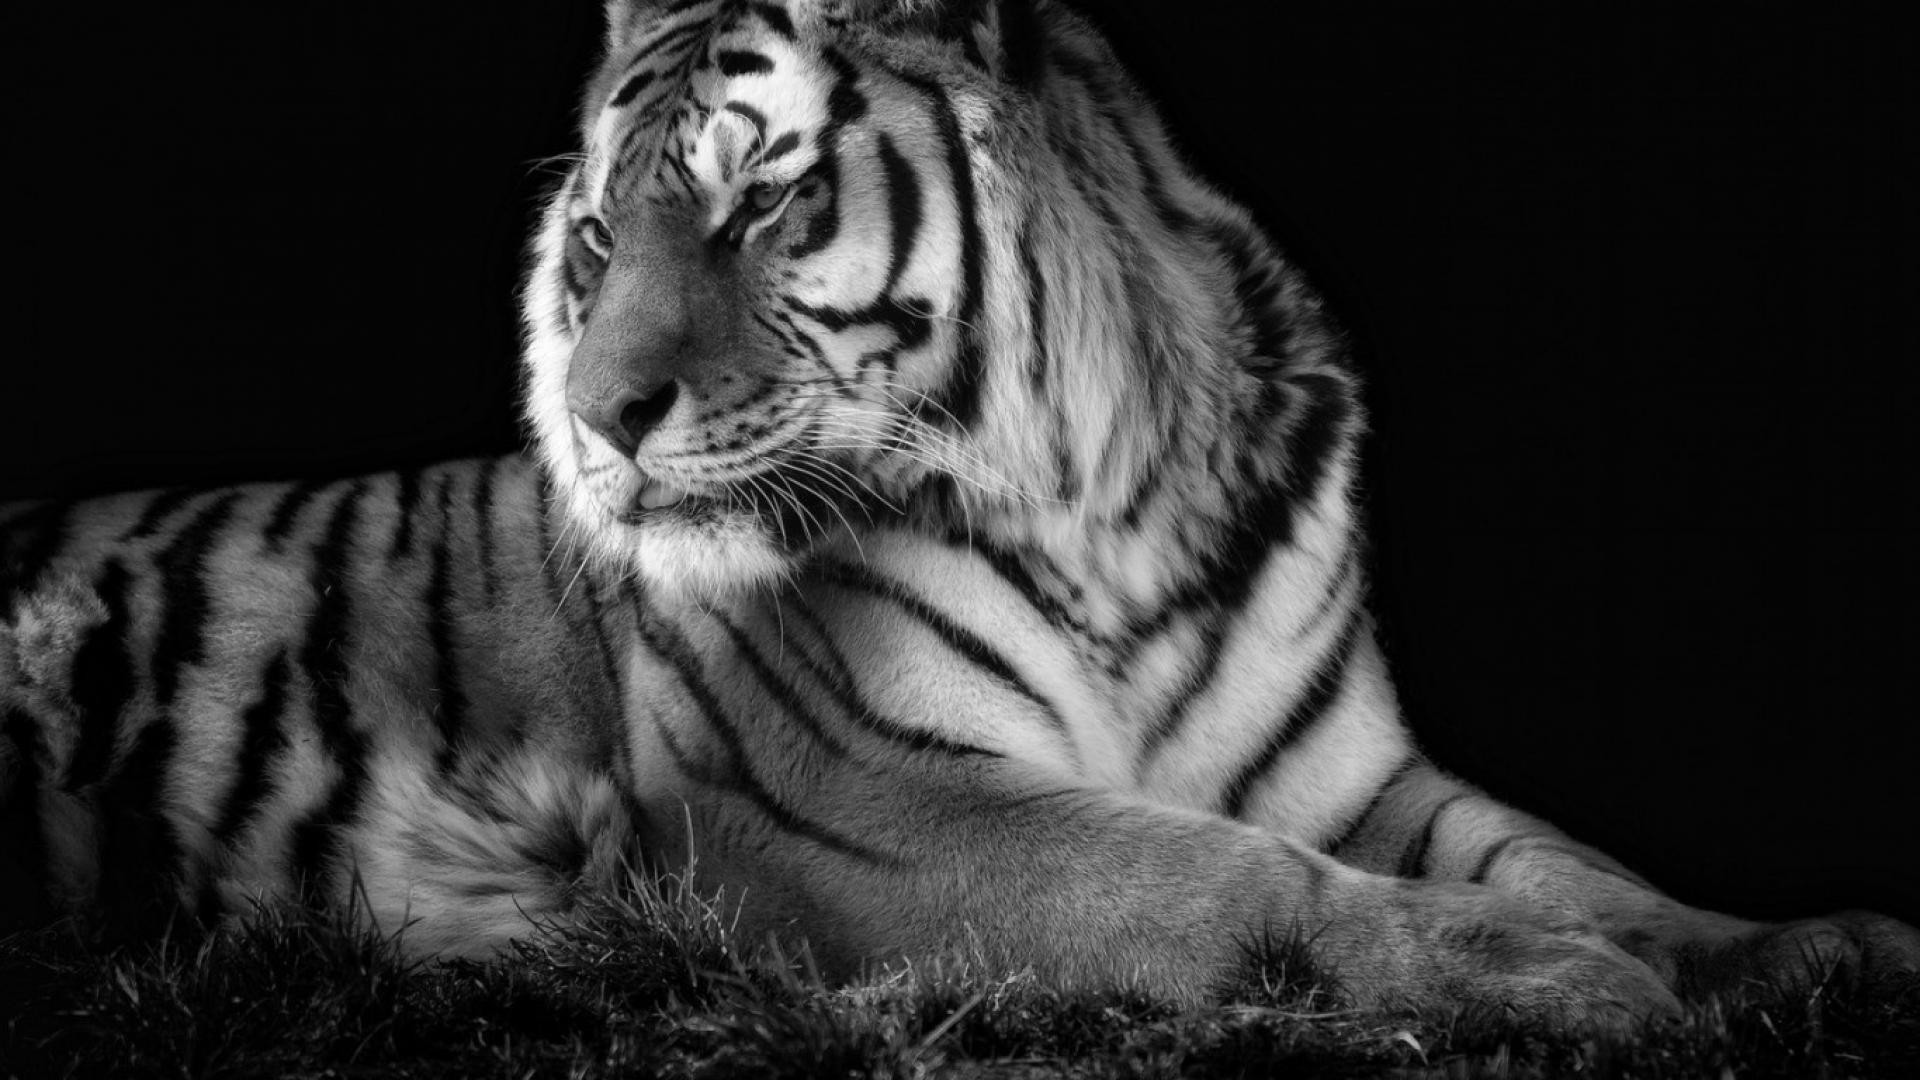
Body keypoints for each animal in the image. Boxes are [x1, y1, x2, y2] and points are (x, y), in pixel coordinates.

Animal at [3, 0, 1917, 1034]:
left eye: (762, 203)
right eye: (601, 240)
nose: (600, 421)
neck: (1122, 518)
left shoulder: (1351, 772)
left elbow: (1569, 853)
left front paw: (1804, 948)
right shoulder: (854, 800)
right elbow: (1225, 880)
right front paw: (1552, 979)